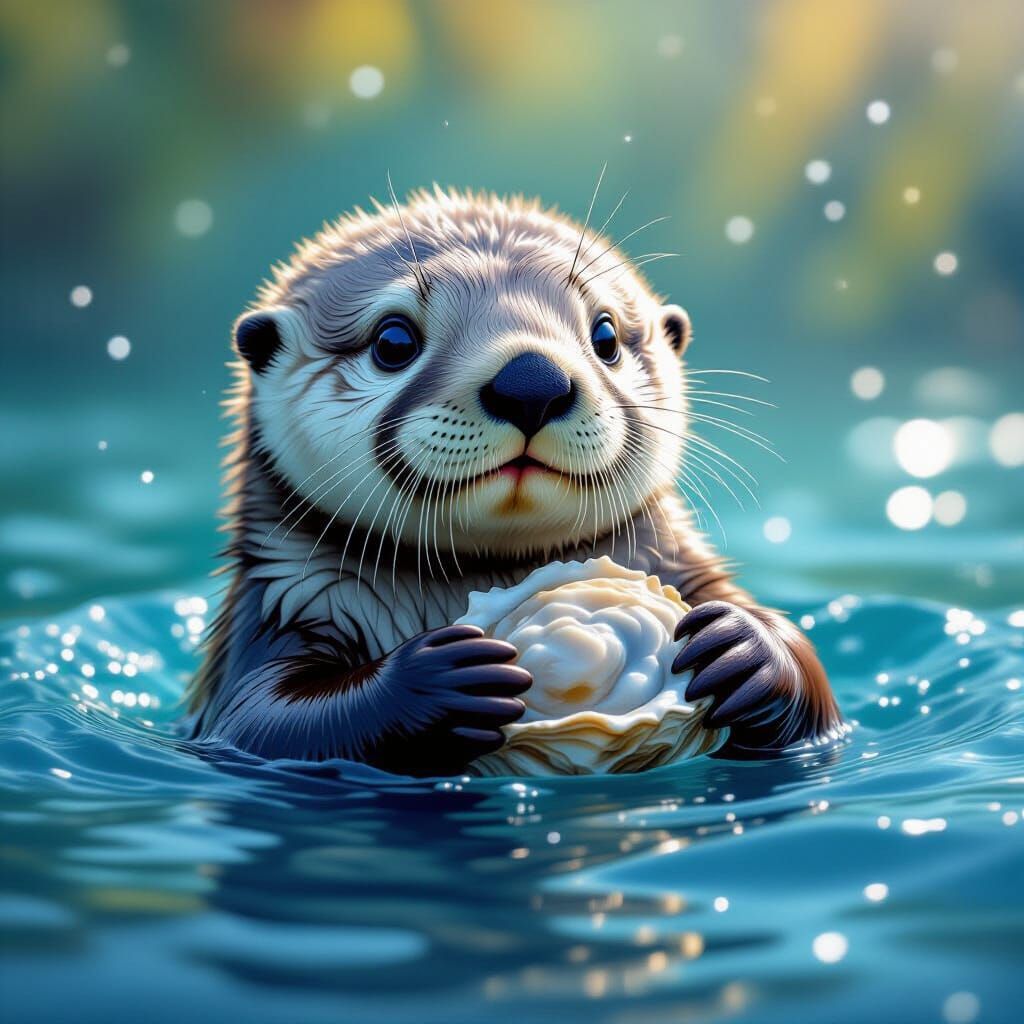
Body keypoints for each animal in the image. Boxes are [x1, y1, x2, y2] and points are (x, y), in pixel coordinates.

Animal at [189, 187, 842, 775]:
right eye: (393, 341)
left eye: (606, 336)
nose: (532, 381)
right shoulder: (280, 613)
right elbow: (272, 719)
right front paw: (437, 679)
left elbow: (817, 696)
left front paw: (747, 648)